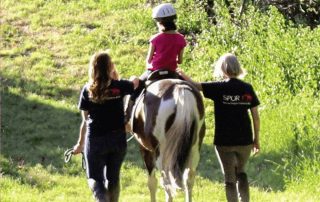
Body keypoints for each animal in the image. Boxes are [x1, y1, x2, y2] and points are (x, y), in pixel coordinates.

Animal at [129, 70, 206, 201]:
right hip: (194, 149)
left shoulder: (145, 149)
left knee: (167, 182)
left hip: (162, 153)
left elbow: (152, 182)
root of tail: (180, 90)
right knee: (188, 179)